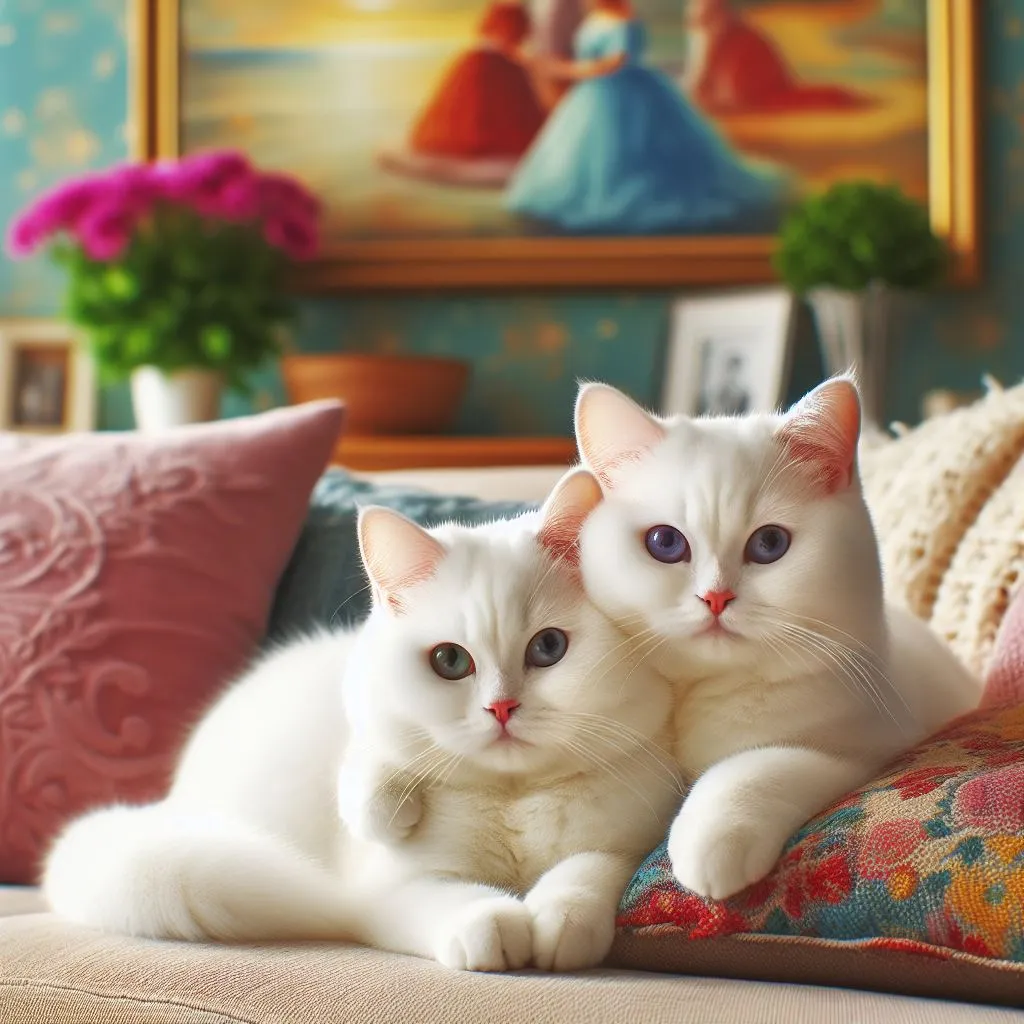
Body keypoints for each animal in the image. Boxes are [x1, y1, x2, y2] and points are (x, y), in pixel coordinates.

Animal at [44, 468, 684, 970]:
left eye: (548, 648)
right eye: (450, 661)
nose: (502, 708)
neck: (512, 799)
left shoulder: (627, 839)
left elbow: (590, 871)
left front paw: (557, 922)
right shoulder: (392, 890)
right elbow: (451, 901)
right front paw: (496, 925)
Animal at [573, 378, 978, 905]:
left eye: (769, 544)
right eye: (665, 543)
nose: (716, 598)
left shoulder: (863, 747)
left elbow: (752, 767)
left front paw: (709, 845)